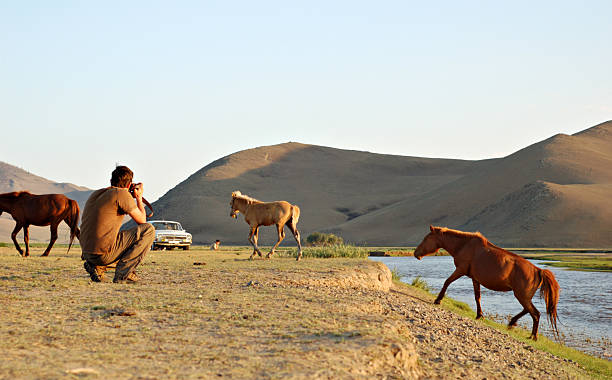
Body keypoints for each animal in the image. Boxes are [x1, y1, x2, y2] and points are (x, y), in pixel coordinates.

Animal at [412, 224, 560, 340]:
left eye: (426, 239)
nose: (415, 253)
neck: (464, 245)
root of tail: (538, 270)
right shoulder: (475, 279)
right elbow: (477, 297)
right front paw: (479, 315)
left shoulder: (460, 270)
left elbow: (447, 282)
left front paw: (438, 300)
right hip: (523, 296)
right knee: (528, 310)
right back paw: (512, 323)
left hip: (521, 296)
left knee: (535, 314)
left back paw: (533, 336)